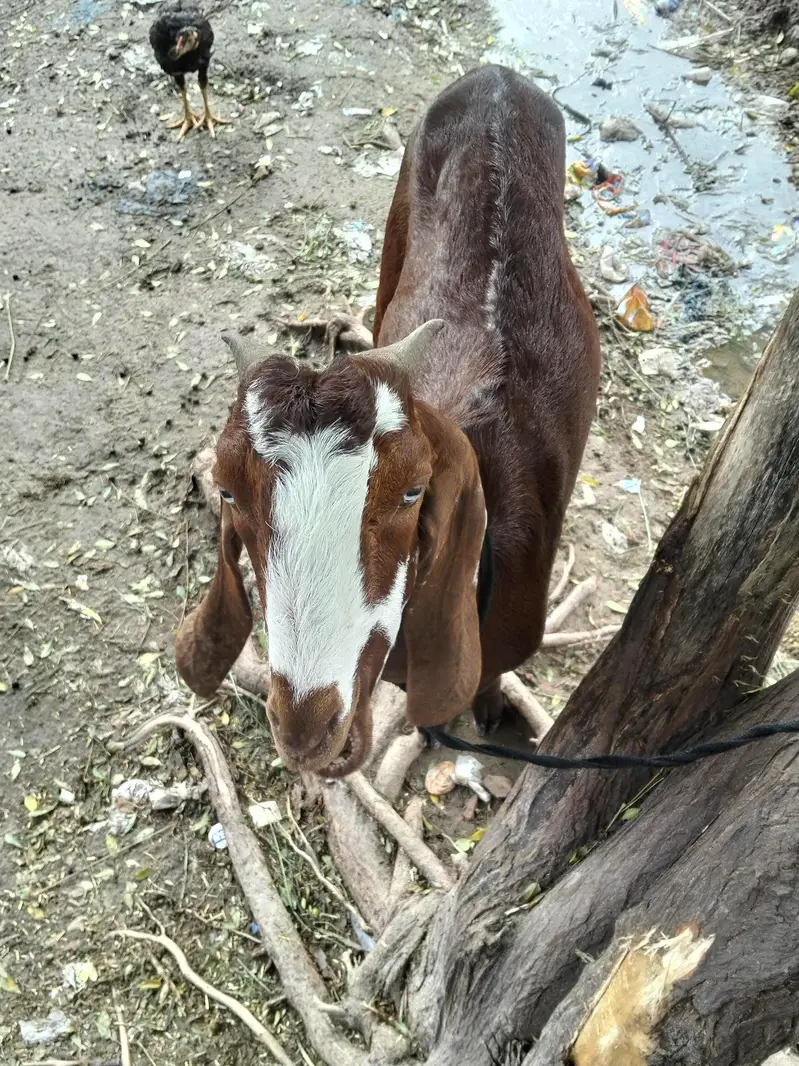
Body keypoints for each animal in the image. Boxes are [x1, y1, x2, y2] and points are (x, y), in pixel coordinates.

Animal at [174, 64, 601, 776]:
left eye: (412, 492)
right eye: (228, 491)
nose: (308, 729)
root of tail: (498, 75)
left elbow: (486, 676)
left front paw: (486, 707)